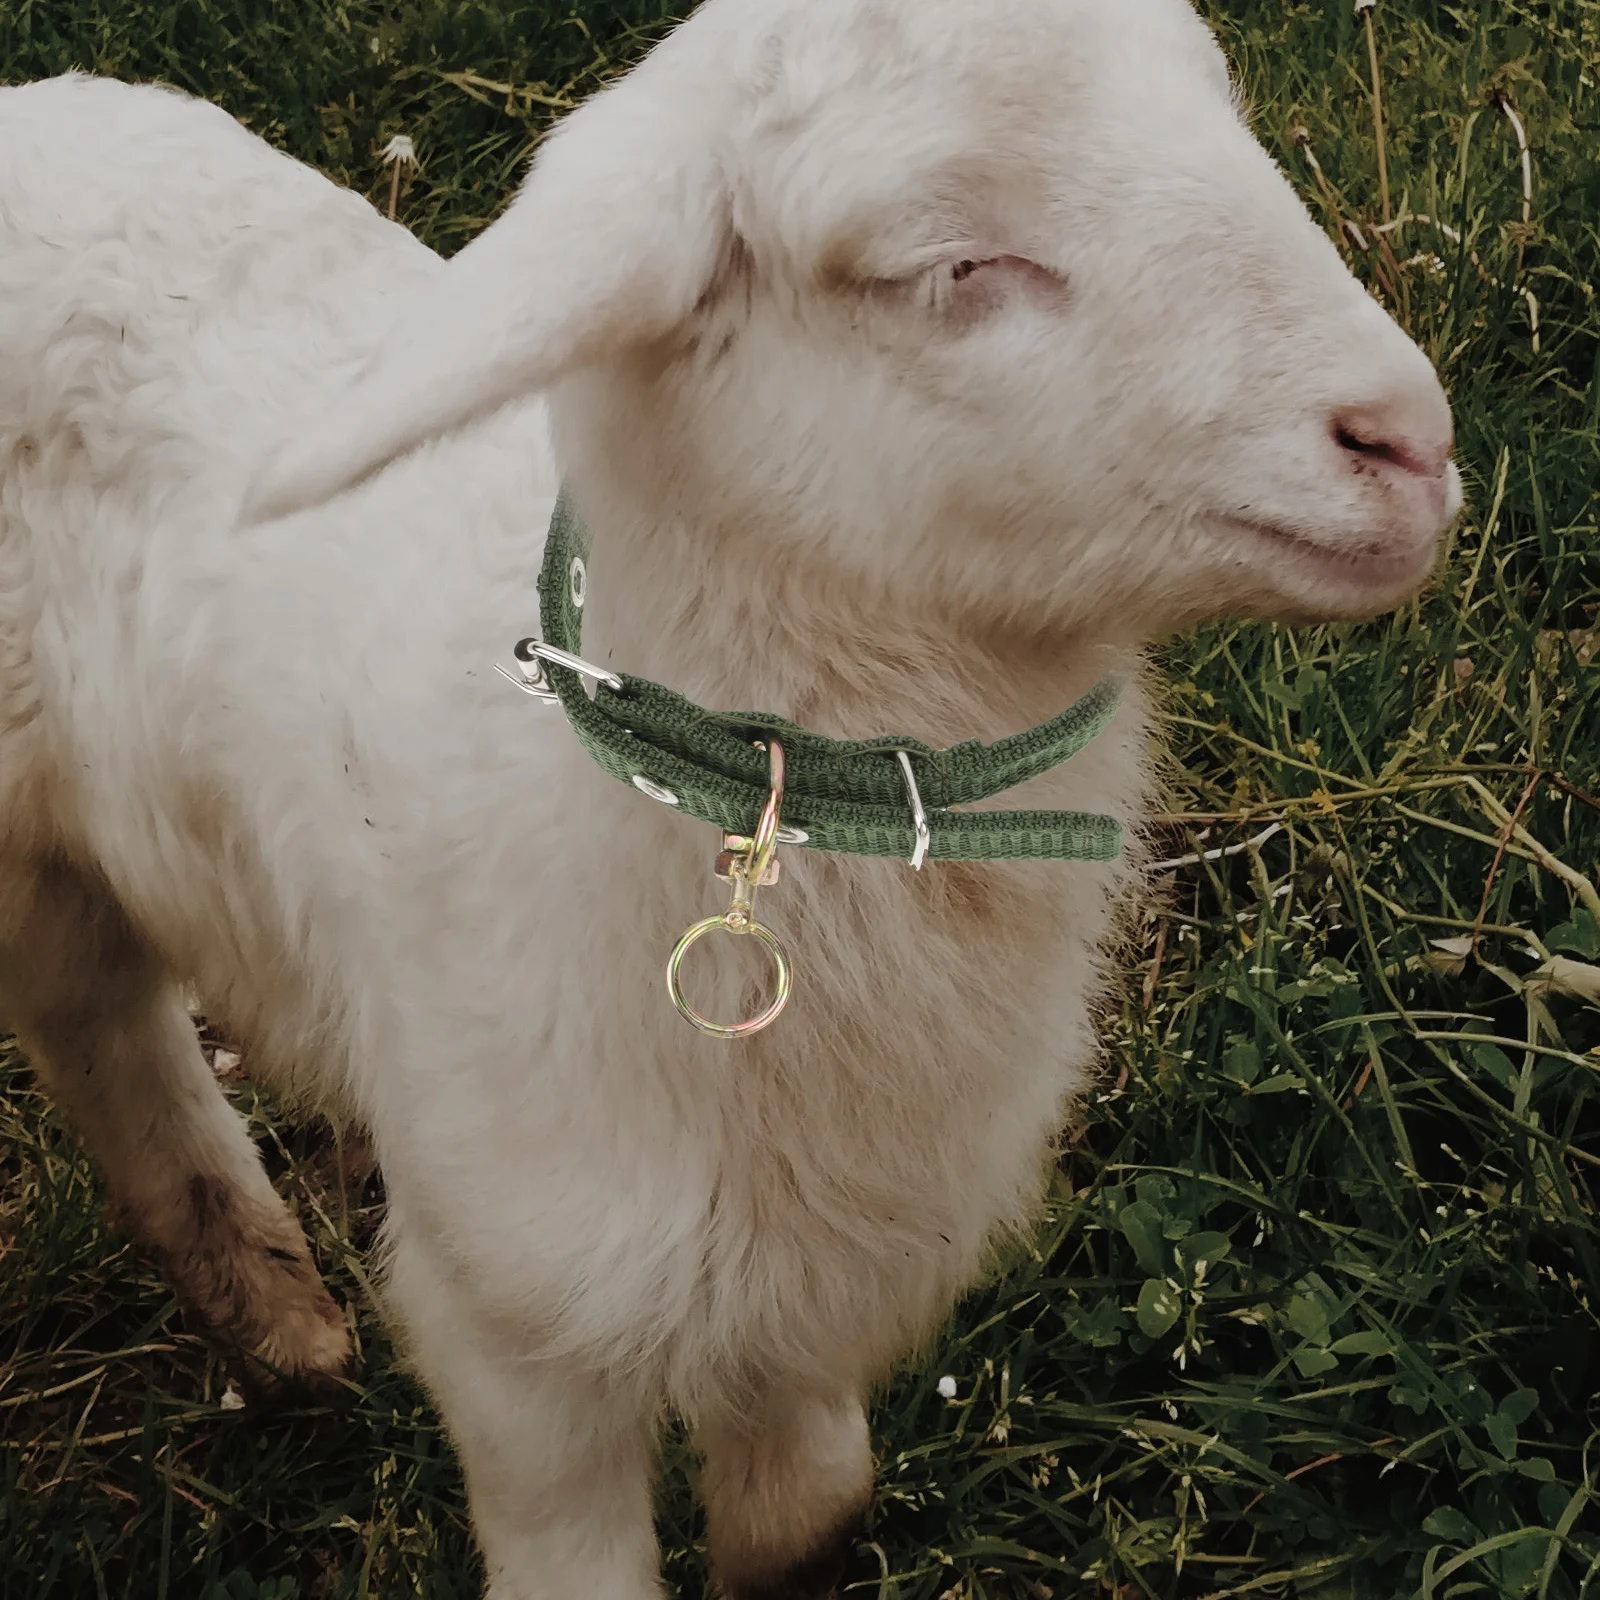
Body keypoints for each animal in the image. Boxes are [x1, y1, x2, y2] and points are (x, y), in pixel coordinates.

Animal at [0, 0, 1460, 1593]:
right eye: (947, 264)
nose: (1412, 442)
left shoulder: (814, 1293)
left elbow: (812, 1508)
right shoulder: (515, 1324)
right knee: (105, 1025)